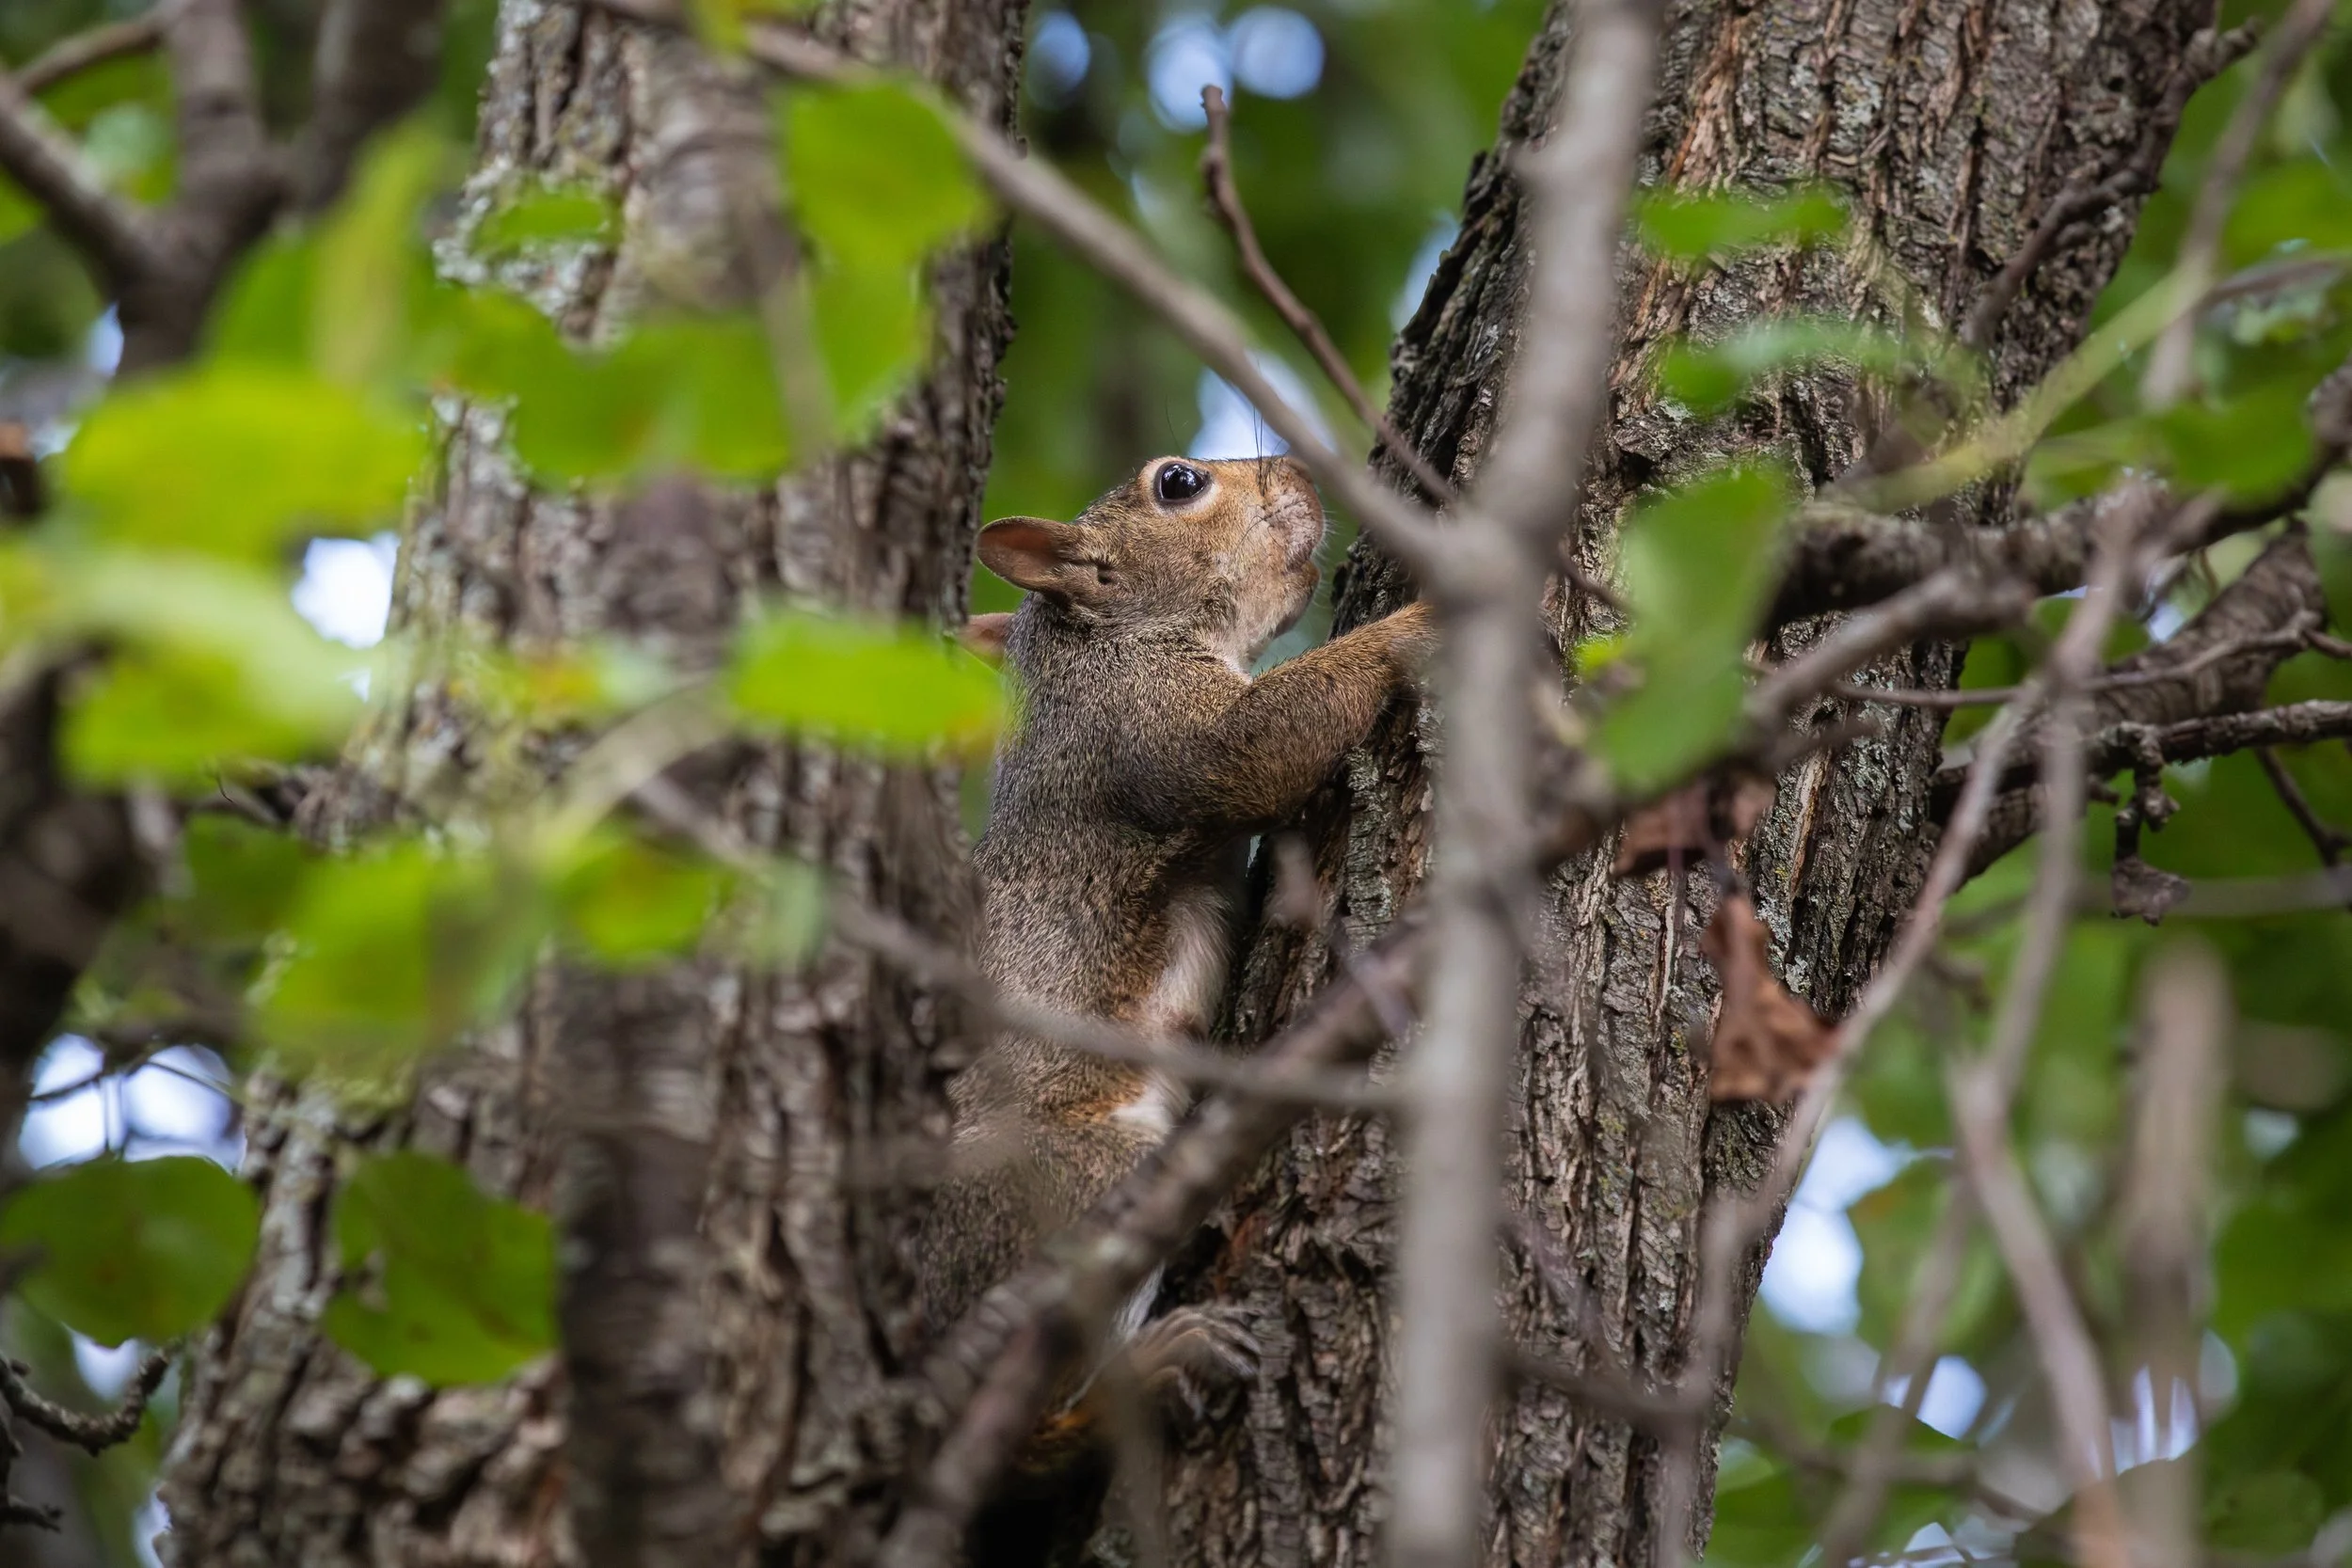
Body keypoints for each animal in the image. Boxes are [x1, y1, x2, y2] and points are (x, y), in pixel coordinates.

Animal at [919, 453, 1433, 1478]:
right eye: (1179, 482)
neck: (1095, 649)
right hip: (1083, 1176)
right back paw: (1145, 1373)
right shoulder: (1143, 730)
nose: (1301, 468)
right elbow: (1261, 742)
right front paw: (1425, 618)